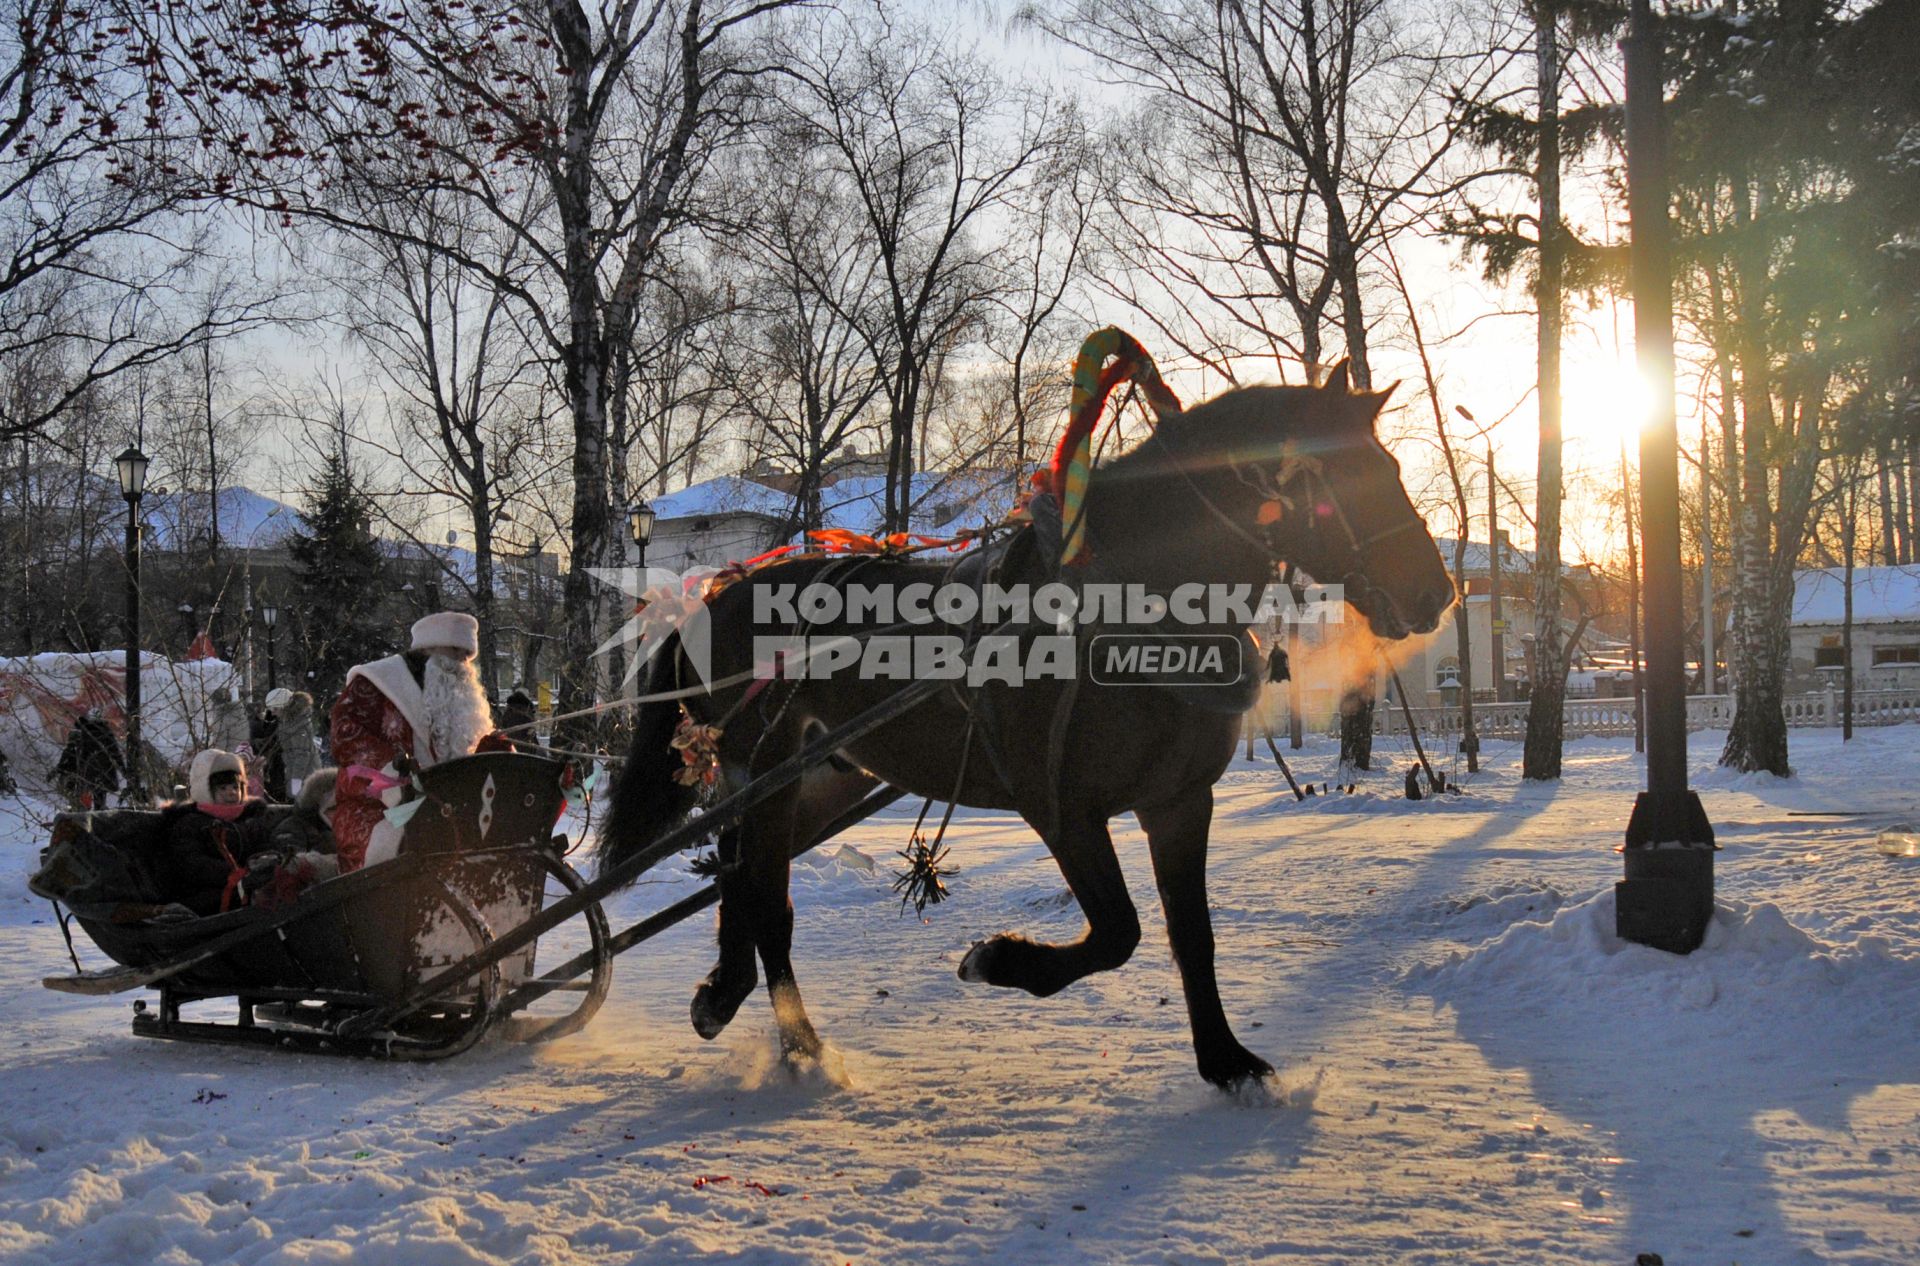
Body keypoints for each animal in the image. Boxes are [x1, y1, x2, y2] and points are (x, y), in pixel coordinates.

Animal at [606, 366, 1443, 1091]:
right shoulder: (1060, 806)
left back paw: (733, 1000)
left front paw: (1226, 1061)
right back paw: (795, 1039)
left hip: (815, 783)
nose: (1435, 589)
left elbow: (1190, 935)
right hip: (762, 770)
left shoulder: (1179, 802)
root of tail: (720, 591)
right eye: (1337, 475)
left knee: (742, 879)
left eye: (1391, 463)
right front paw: (998, 960)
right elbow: (1119, 932)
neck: (1125, 608)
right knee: (764, 898)